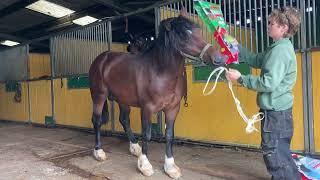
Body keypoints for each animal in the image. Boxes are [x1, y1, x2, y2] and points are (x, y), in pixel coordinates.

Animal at [89, 9, 226, 179]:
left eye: (199, 31)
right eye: (183, 36)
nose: (219, 58)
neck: (160, 71)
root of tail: (101, 59)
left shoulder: (173, 108)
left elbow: (169, 135)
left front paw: (170, 167)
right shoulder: (147, 108)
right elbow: (147, 134)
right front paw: (145, 165)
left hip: (123, 99)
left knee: (124, 120)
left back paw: (135, 147)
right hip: (99, 96)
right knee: (97, 120)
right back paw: (99, 151)